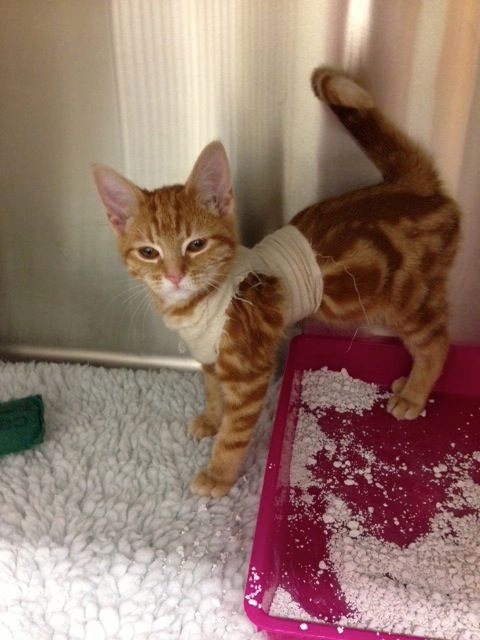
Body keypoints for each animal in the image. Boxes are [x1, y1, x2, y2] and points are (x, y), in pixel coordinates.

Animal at [93, 69, 462, 496]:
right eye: (148, 252)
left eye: (196, 244)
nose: (174, 275)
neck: (199, 305)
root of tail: (414, 188)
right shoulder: (210, 359)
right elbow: (213, 394)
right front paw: (210, 419)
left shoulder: (250, 373)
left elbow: (234, 433)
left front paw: (218, 474)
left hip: (411, 299)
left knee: (436, 343)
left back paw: (414, 394)